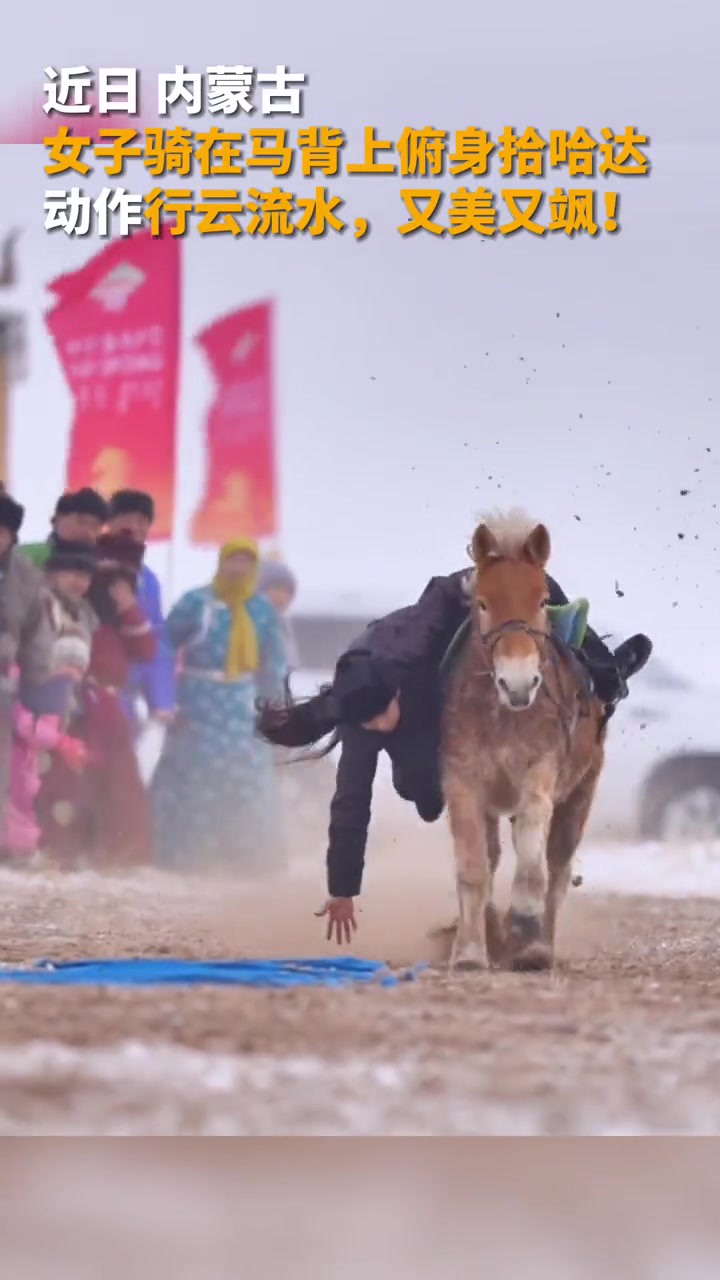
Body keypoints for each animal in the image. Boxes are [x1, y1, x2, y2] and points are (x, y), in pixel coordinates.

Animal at [438, 509, 604, 967]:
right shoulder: (462, 778)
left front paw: (524, 921)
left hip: (582, 789)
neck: (504, 716)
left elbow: (533, 840)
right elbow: (473, 865)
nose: (518, 684)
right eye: (482, 602)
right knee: (495, 856)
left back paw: (537, 946)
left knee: (559, 864)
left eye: (542, 600)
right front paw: (470, 952)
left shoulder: (541, 768)